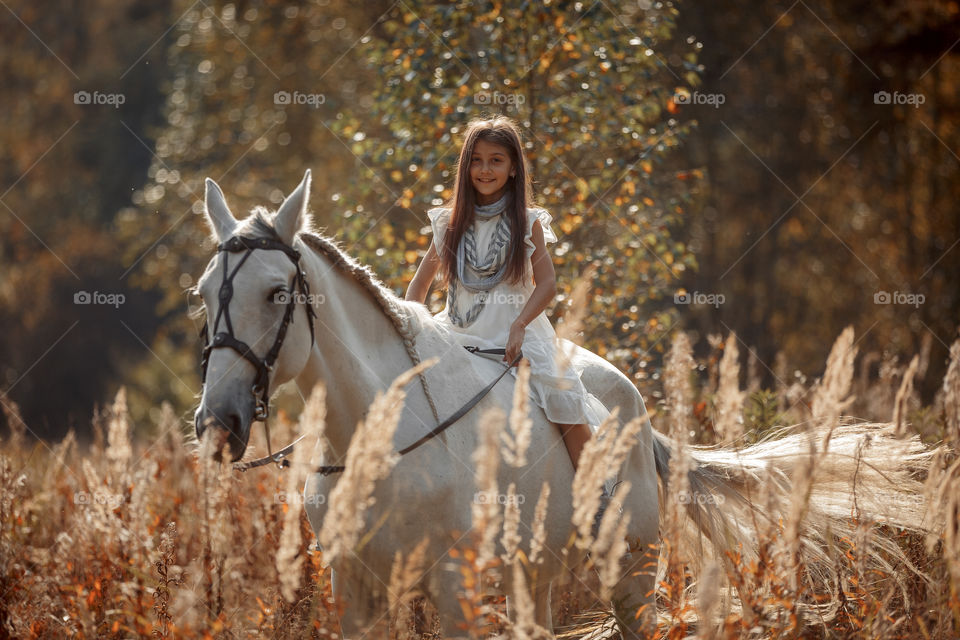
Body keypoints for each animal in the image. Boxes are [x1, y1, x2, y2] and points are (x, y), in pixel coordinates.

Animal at [193, 172, 928, 636]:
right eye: (204, 293)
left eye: (277, 292)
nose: (218, 424)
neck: (382, 438)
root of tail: (643, 419)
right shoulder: (356, 589)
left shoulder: (456, 587)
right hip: (536, 571)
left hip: (631, 575)